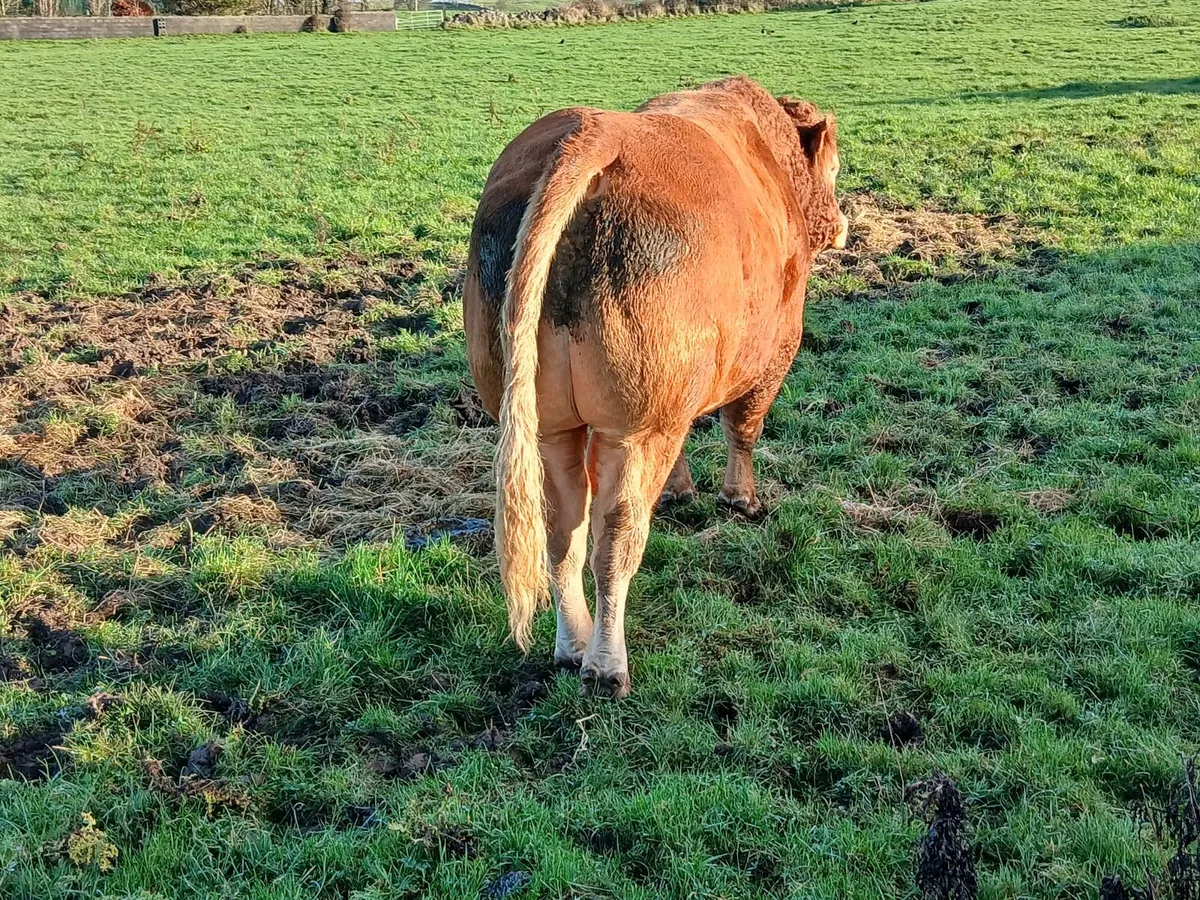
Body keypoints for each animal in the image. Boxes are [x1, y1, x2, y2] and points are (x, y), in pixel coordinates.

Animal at [463, 76, 847, 699]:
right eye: (834, 167)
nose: (841, 224)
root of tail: (597, 131)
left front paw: (680, 490)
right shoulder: (774, 351)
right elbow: (743, 428)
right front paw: (741, 499)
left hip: (549, 423)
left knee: (562, 531)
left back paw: (572, 648)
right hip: (636, 427)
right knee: (615, 538)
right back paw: (607, 665)